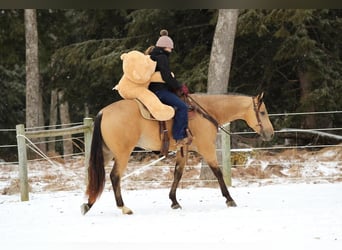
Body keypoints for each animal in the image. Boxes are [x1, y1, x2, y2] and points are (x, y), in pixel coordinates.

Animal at [79, 92, 272, 215]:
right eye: (262, 112)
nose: (271, 133)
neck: (206, 112)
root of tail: (103, 112)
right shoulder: (207, 148)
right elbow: (217, 172)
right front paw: (229, 199)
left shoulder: (182, 150)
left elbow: (177, 173)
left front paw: (174, 201)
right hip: (122, 153)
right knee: (114, 176)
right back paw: (123, 207)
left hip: (106, 153)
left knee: (95, 176)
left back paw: (88, 204)